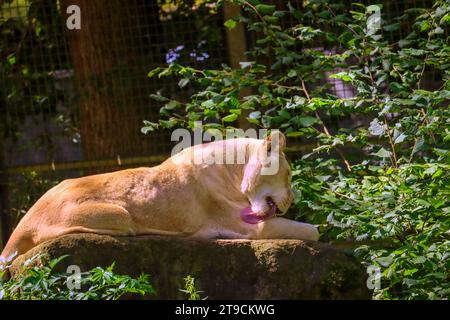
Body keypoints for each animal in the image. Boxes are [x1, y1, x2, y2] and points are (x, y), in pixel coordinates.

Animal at [2, 131, 320, 264]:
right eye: (288, 176)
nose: (292, 201)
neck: (235, 168)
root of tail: (20, 227)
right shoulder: (251, 226)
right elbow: (314, 231)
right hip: (120, 215)